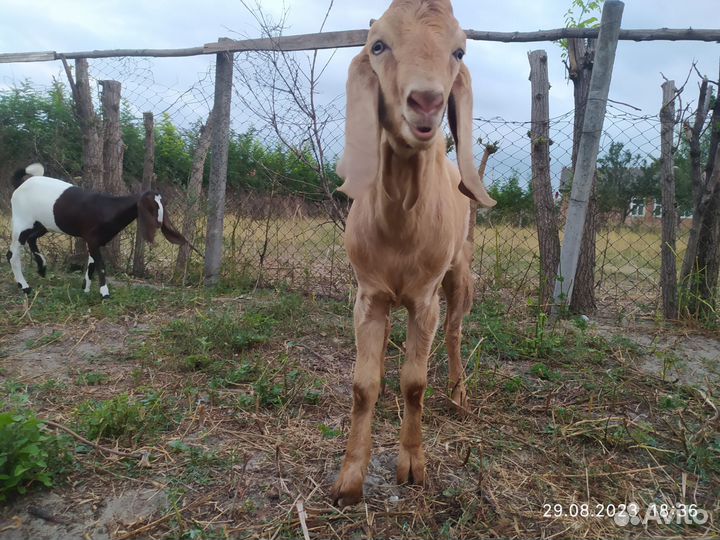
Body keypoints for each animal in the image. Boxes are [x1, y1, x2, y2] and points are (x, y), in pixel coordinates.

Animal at [7, 163, 191, 298]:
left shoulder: (95, 241)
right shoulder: (93, 239)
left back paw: (42, 268)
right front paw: (104, 294)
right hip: (22, 222)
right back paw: (25, 287)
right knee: (12, 255)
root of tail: (20, 184)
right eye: (151, 206)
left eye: (163, 204)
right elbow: (101, 266)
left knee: (32, 238)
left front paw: (86, 290)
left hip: (42, 224)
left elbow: (91, 265)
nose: (159, 222)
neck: (108, 208)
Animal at [331, 0, 496, 506]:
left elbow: (415, 382)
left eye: (459, 51)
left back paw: (460, 397)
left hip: (459, 273)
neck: (401, 224)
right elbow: (363, 384)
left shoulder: (424, 300)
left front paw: (412, 467)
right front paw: (349, 480)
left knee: (456, 333)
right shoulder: (367, 295)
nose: (426, 102)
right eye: (378, 45)